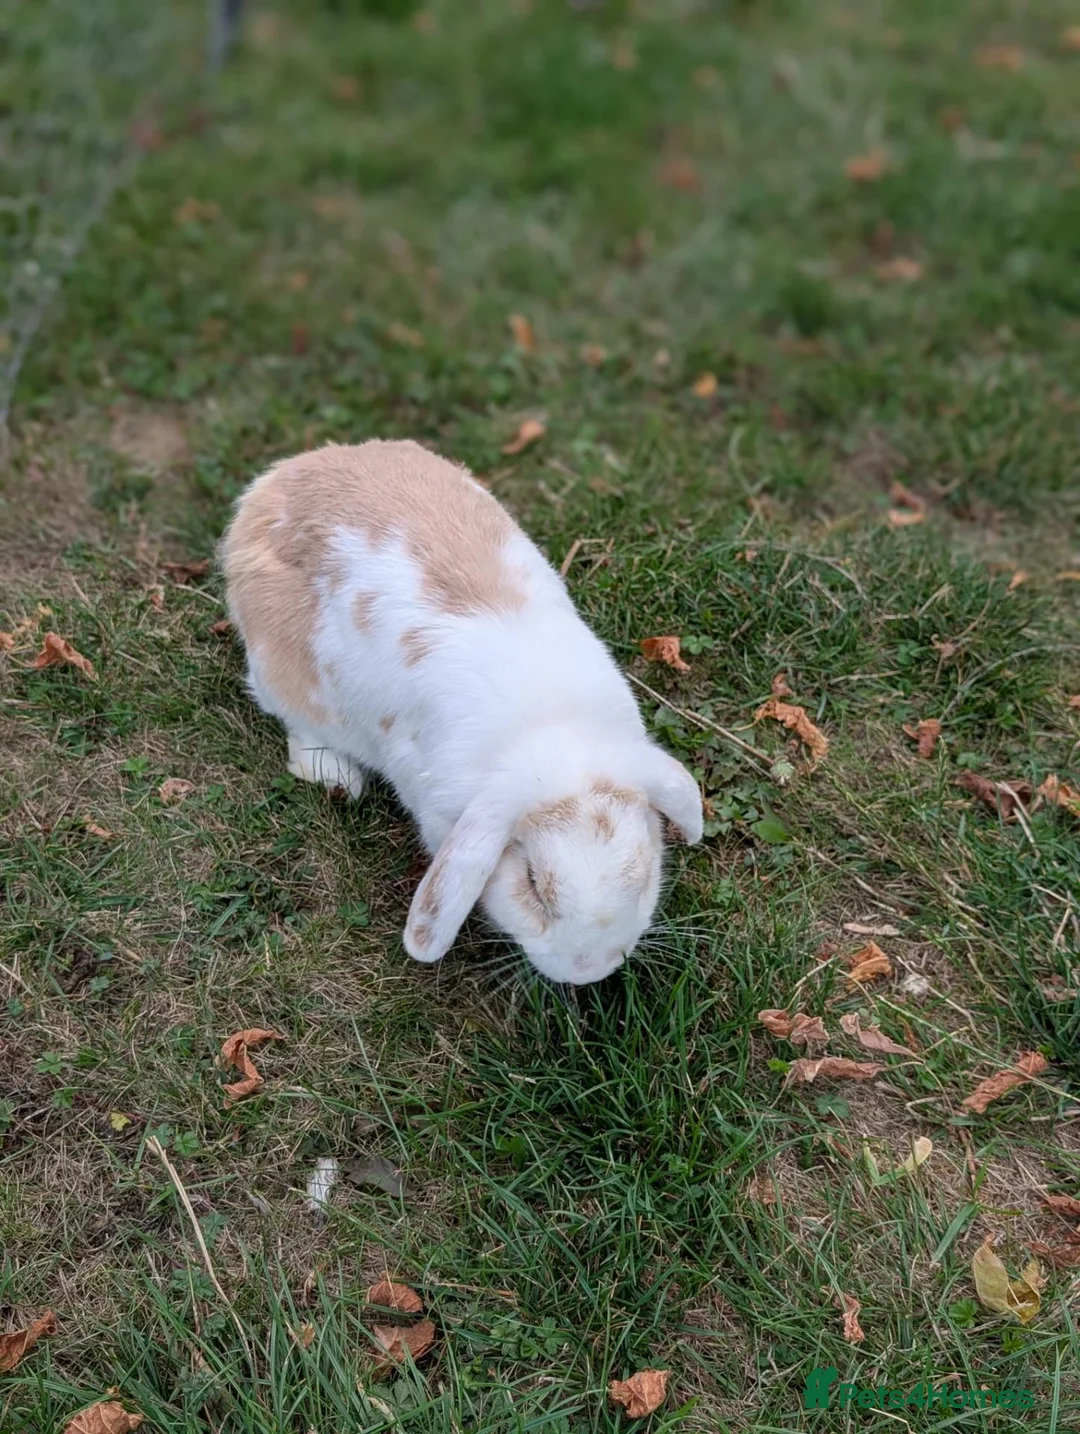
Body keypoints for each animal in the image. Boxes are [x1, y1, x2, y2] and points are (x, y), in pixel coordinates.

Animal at [220, 440, 702, 985]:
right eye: (532, 885)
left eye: (642, 879)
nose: (590, 971)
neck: (553, 735)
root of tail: (274, 484)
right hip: (281, 671)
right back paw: (336, 777)